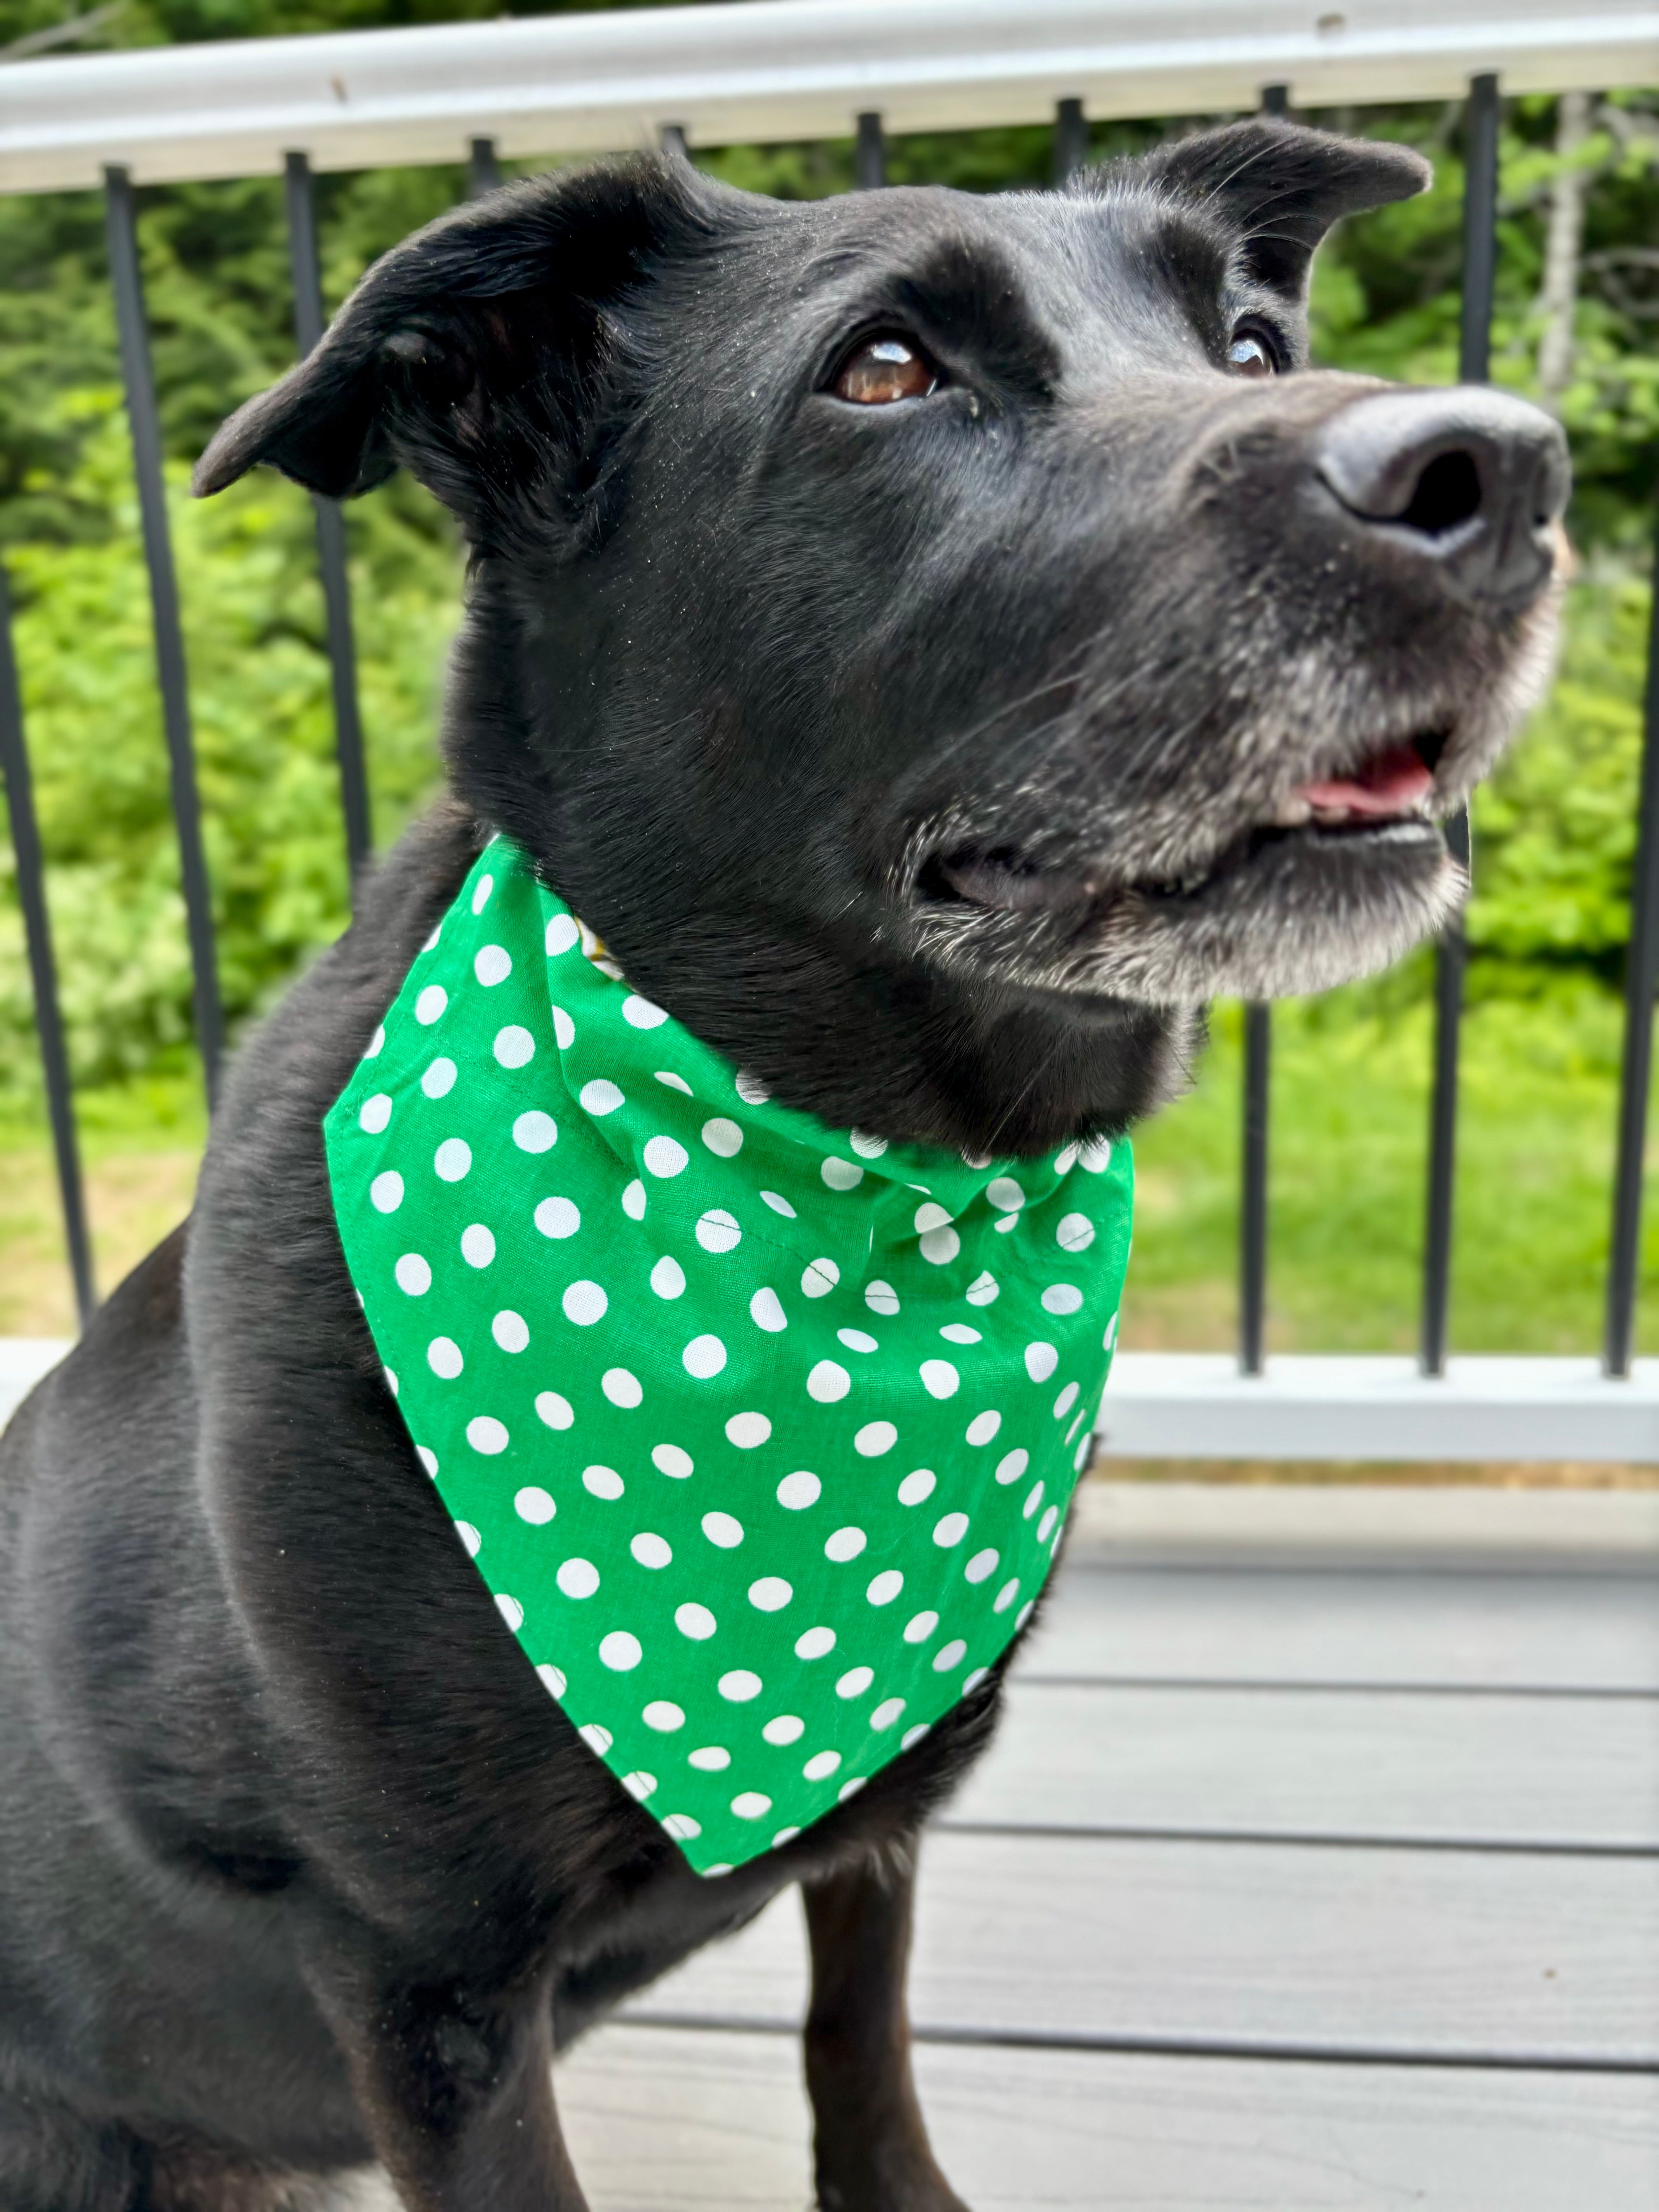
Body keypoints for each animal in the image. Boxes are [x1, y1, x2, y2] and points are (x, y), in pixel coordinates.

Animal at [0, 125, 1575, 2212]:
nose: (1503, 473)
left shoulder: (876, 1822)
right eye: (884, 370)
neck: (857, 1175)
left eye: (1249, 342)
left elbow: (861, 2042)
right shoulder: (430, 1992)